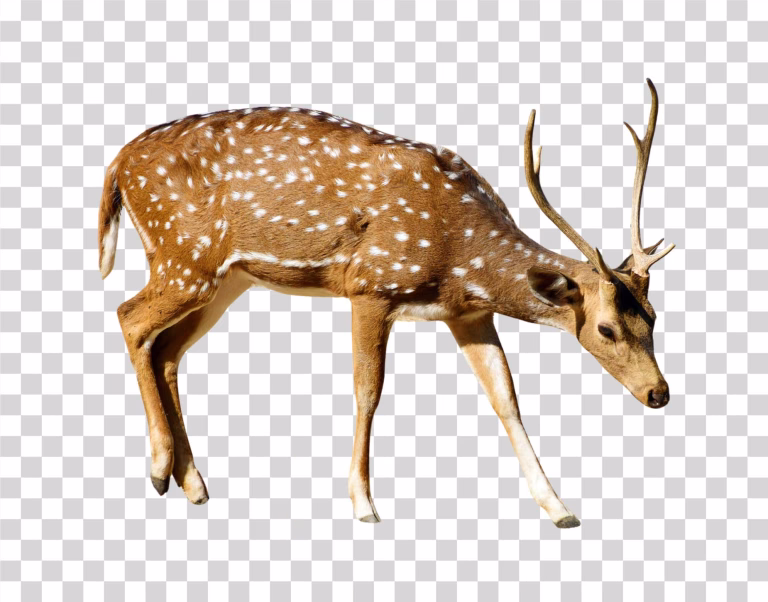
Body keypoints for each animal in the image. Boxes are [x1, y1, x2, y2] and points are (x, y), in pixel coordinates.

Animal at [98, 79, 672, 528]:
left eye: (653, 317)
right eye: (605, 329)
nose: (659, 393)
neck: (461, 256)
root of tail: (117, 164)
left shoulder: (469, 313)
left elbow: (506, 397)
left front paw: (559, 508)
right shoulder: (371, 285)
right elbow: (368, 391)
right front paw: (364, 504)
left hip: (224, 280)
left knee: (167, 350)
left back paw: (193, 483)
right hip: (184, 257)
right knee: (129, 316)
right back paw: (158, 469)